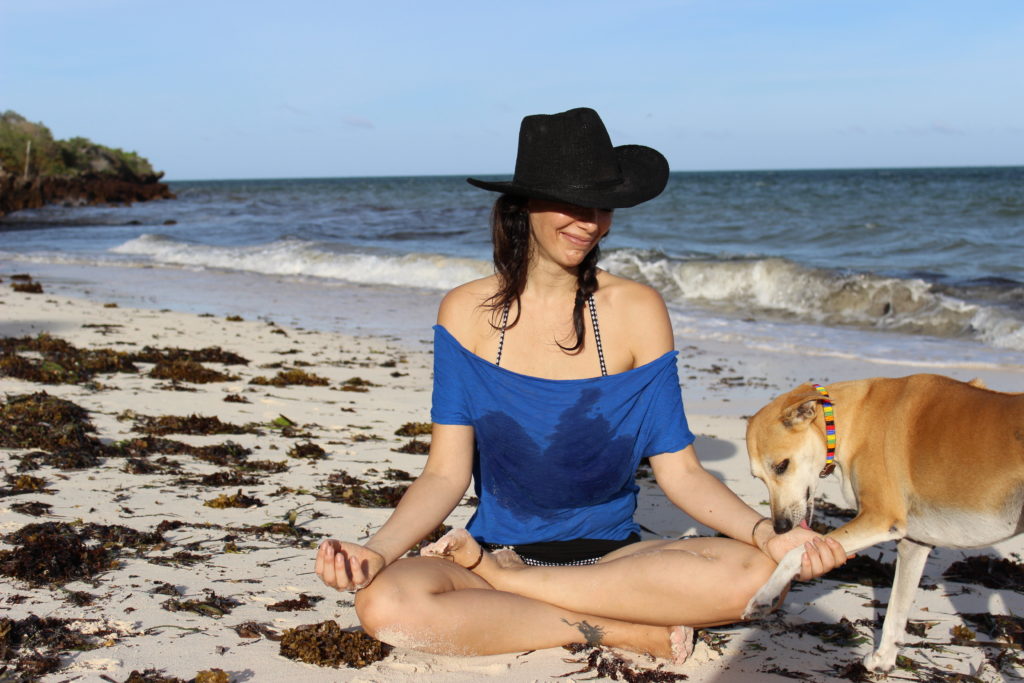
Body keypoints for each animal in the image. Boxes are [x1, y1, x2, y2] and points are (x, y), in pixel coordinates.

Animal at [745, 374, 1024, 671]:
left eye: (782, 465)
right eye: (759, 477)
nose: (780, 527)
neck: (853, 416)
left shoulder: (880, 518)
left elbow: (793, 554)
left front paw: (763, 597)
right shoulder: (913, 544)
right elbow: (896, 610)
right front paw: (884, 660)